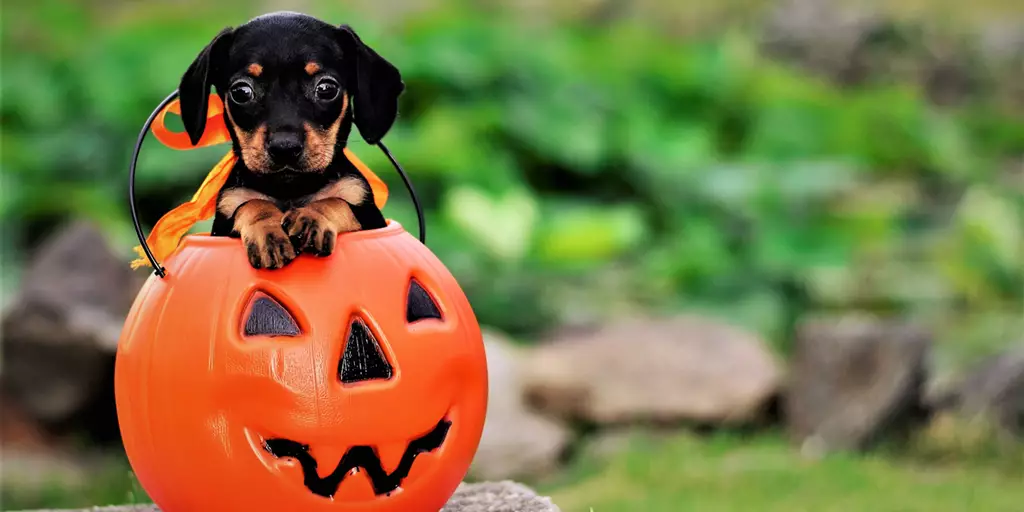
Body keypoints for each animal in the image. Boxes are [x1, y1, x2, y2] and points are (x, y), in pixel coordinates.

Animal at [178, 11, 401, 268]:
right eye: (241, 92)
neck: (291, 190)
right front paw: (268, 231)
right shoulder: (226, 214)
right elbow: (253, 204)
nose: (284, 148)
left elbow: (335, 201)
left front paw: (312, 218)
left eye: (326, 88)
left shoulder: (366, 211)